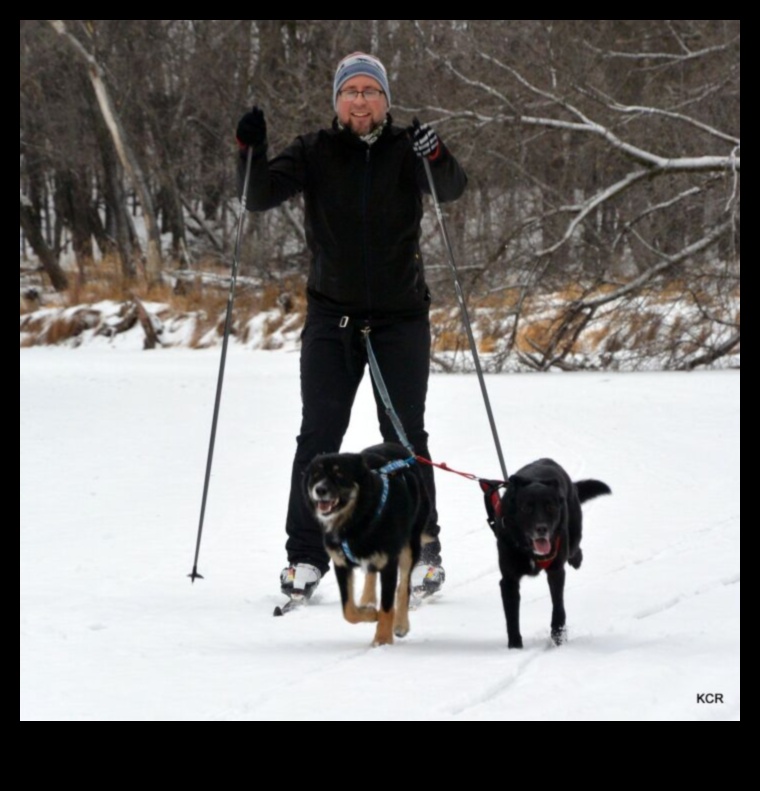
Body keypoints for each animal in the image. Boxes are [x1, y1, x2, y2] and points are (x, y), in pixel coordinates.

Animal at [304, 442, 434, 648]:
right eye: (315, 475)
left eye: (339, 474)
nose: (320, 490)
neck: (356, 522)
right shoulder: (340, 562)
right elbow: (348, 610)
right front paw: (371, 614)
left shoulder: (389, 562)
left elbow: (388, 605)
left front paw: (382, 639)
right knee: (371, 574)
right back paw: (368, 600)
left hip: (410, 545)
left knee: (403, 586)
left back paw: (400, 624)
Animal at [480, 458, 612, 648]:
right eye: (526, 508)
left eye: (550, 507)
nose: (541, 528)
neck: (529, 549)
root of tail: (547, 460)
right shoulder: (509, 580)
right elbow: (512, 616)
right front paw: (515, 646)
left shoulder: (556, 571)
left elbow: (558, 607)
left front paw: (559, 637)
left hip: (573, 530)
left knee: (574, 547)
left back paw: (577, 559)